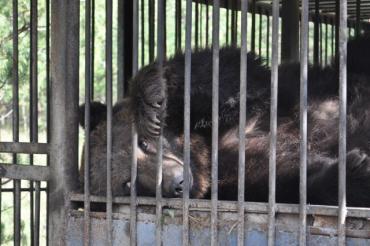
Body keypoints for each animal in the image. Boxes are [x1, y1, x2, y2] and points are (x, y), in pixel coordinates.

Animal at [79, 36, 370, 206]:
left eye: (144, 143)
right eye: (129, 183)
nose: (177, 183)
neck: (206, 154)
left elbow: (226, 68)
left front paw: (151, 99)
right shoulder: (233, 180)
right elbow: (285, 181)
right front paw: (353, 171)